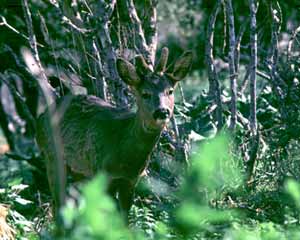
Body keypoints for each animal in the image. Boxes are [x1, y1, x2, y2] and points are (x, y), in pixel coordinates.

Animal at [35, 47, 192, 222]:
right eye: (145, 93)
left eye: (170, 91)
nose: (162, 111)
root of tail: (42, 115)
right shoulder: (103, 175)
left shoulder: (130, 181)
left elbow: (123, 219)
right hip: (52, 156)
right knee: (58, 204)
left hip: (80, 171)